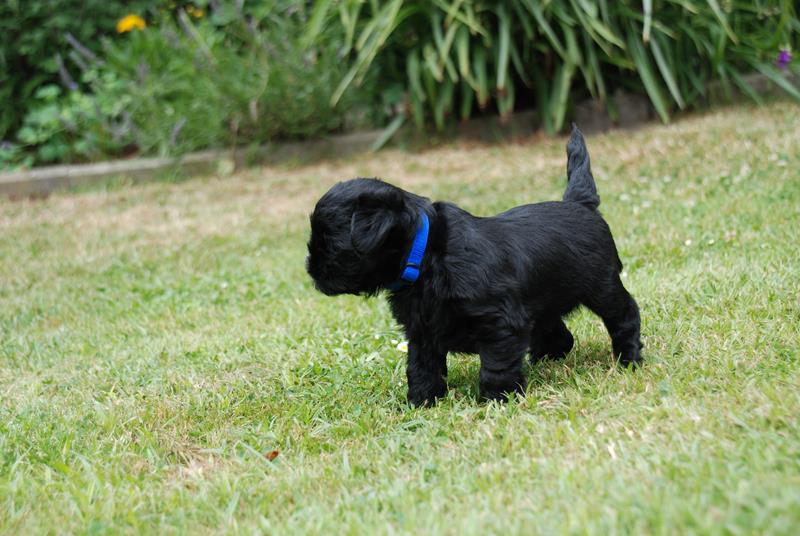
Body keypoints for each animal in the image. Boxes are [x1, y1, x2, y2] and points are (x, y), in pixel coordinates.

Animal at [306, 125, 642, 406]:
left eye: (330, 244)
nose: (311, 270)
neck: (427, 254)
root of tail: (580, 203)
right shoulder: (422, 329)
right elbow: (421, 366)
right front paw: (421, 402)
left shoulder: (500, 322)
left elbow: (496, 365)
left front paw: (497, 399)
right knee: (558, 334)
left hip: (602, 286)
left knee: (625, 314)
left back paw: (629, 358)